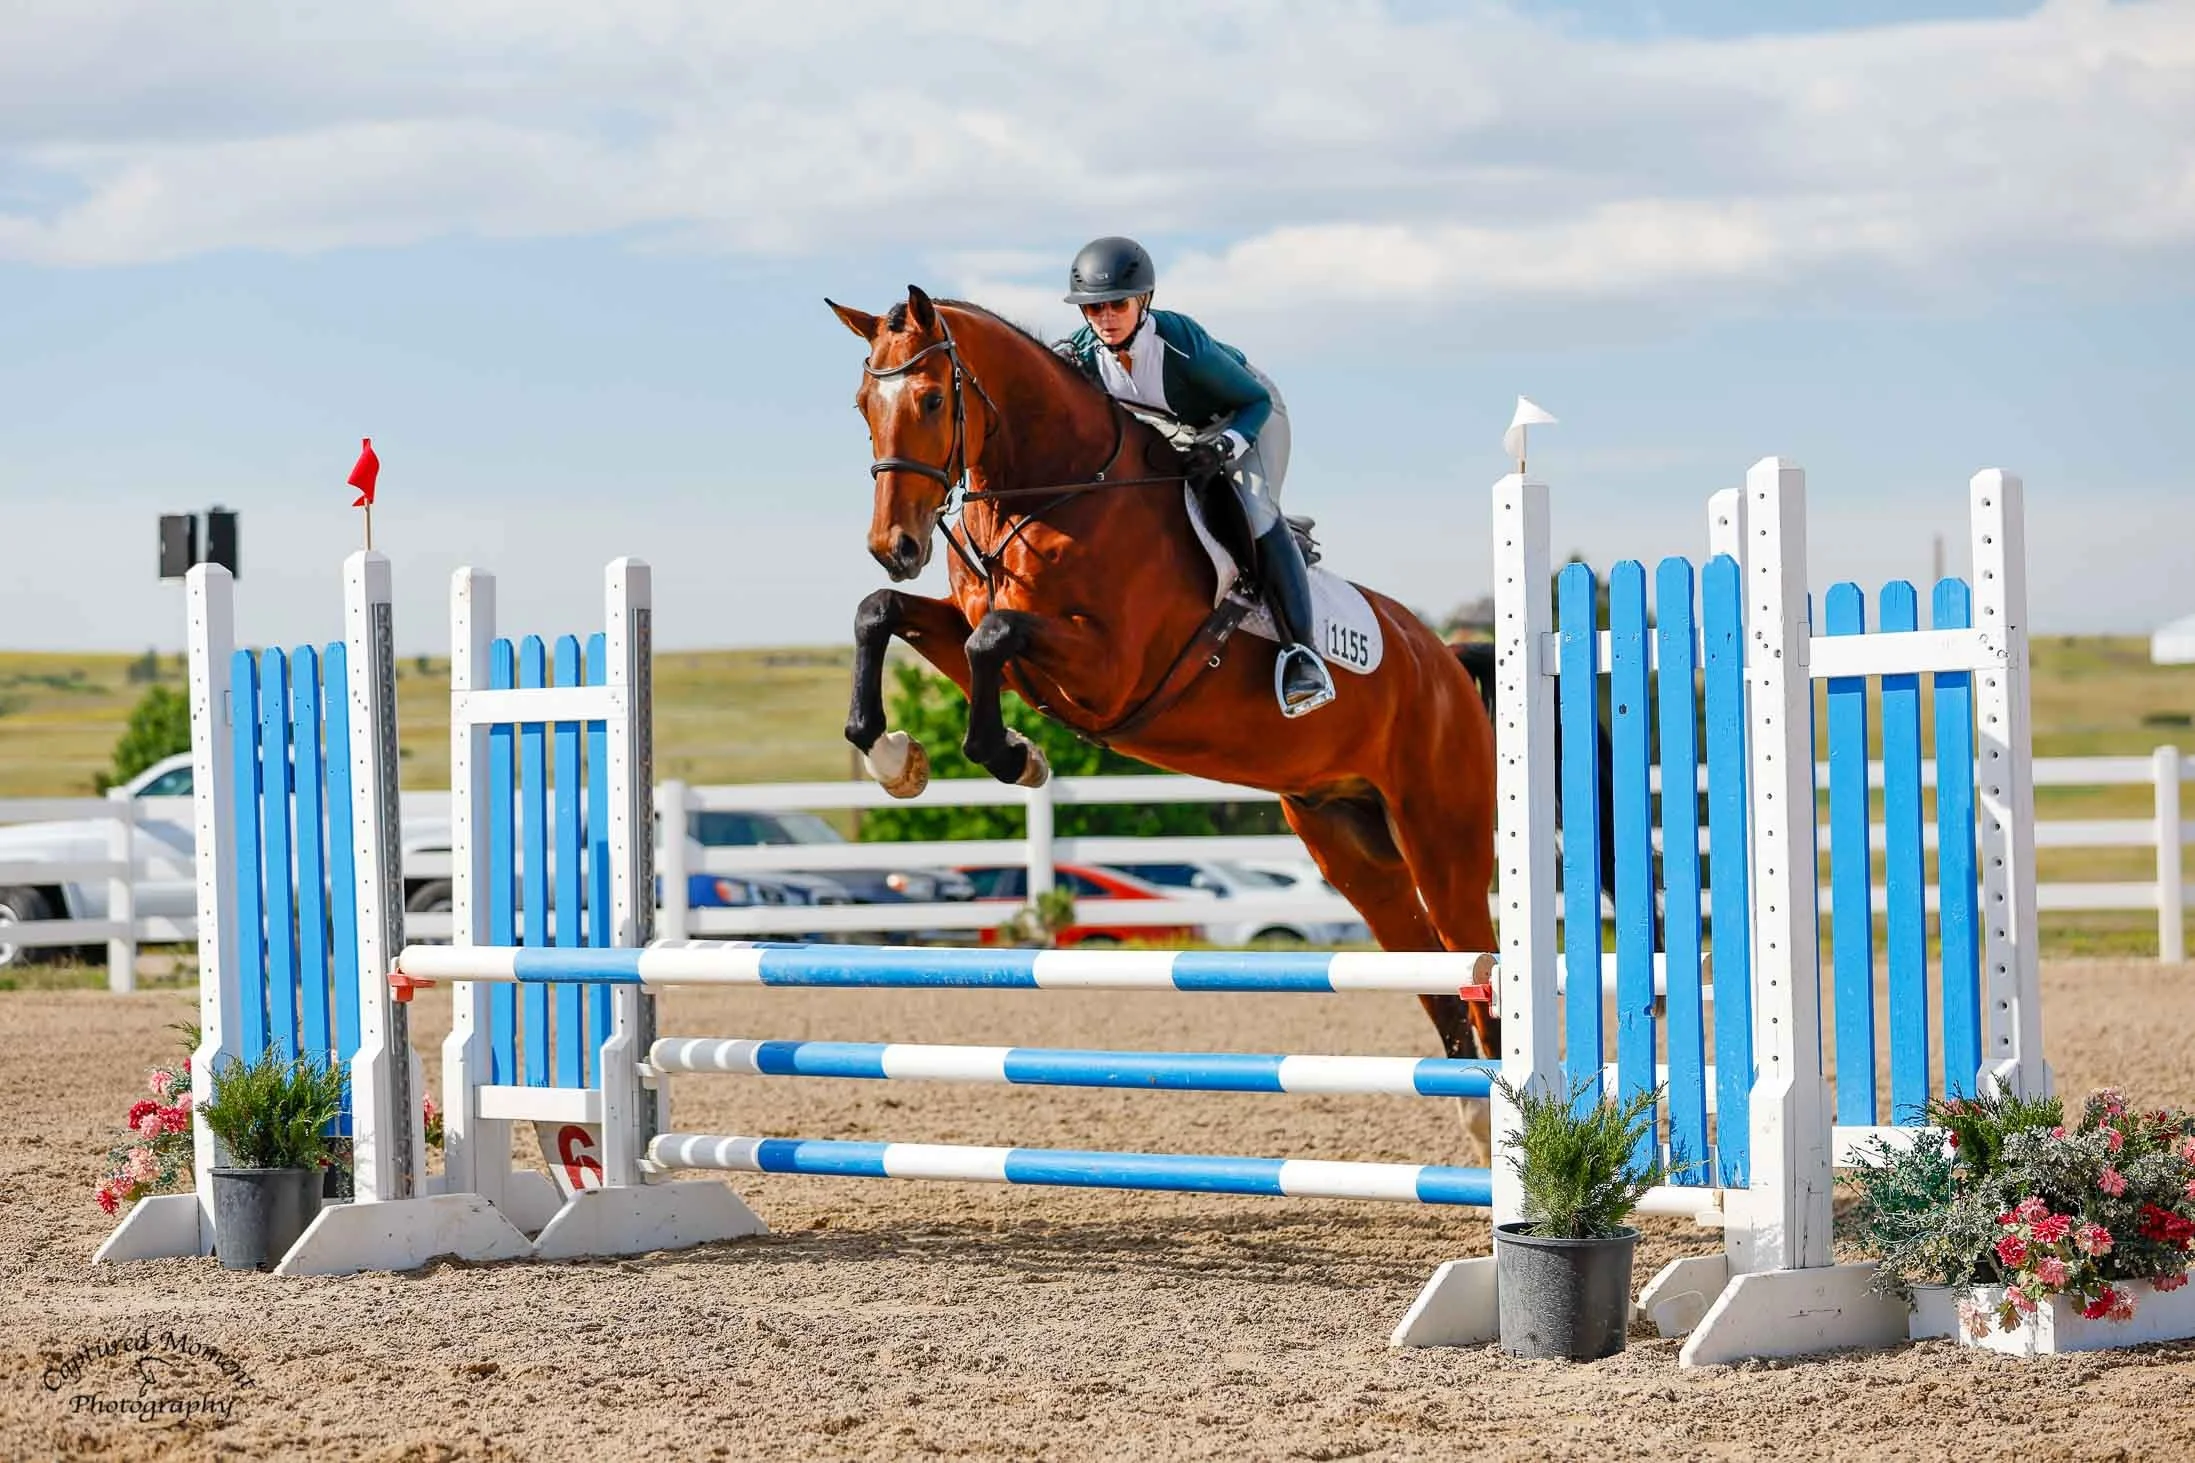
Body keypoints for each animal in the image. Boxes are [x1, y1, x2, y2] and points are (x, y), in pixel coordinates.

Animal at [826, 285, 1504, 1092]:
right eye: (863, 403)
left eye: (932, 398)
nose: (894, 547)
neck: (1056, 491)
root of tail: (1444, 663)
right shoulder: (991, 634)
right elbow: (884, 613)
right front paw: (895, 755)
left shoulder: (1111, 670)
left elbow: (989, 640)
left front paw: (1011, 755)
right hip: (1350, 843)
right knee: (1435, 979)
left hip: (1443, 839)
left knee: (1480, 970)